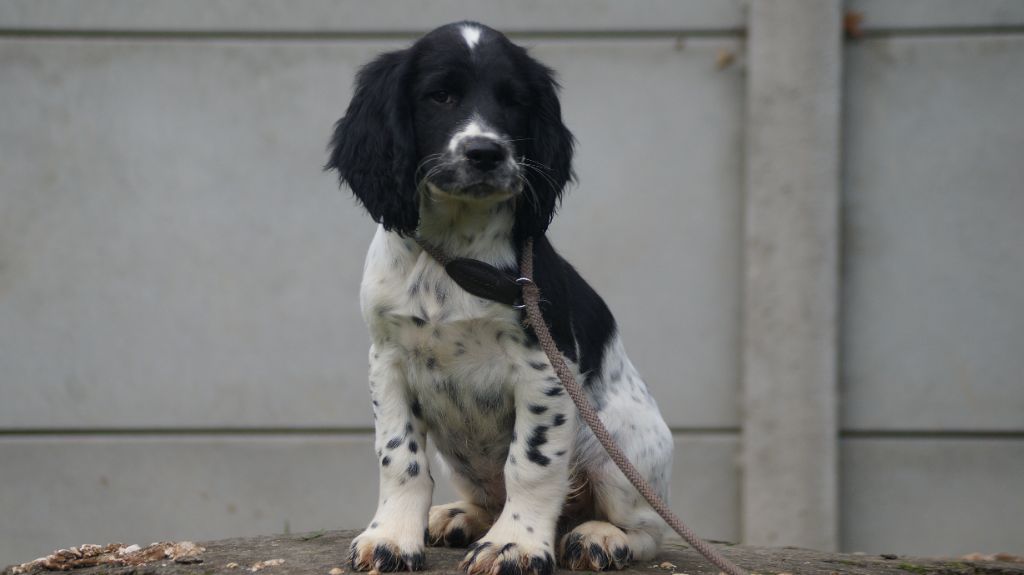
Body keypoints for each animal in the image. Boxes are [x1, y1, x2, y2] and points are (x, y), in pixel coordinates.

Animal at [327, 21, 675, 572]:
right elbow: (399, 456)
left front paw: (516, 543)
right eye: (440, 96)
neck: (453, 254)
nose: (485, 153)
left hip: (617, 445)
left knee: (647, 529)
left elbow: (530, 463)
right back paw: (457, 516)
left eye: (514, 102)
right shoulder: (387, 358)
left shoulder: (544, 365)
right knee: (485, 497)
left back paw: (600, 537)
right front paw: (392, 537)